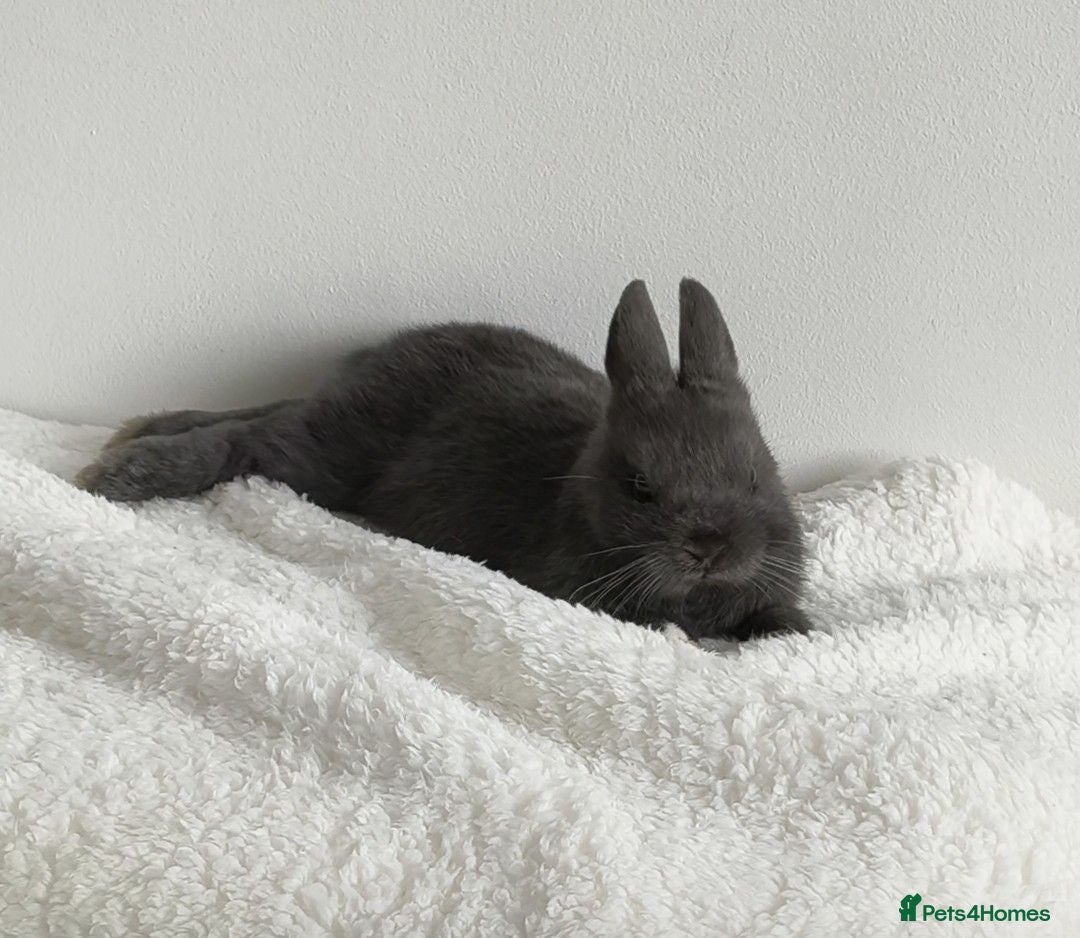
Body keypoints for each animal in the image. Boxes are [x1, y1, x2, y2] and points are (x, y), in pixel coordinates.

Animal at [77, 279, 810, 642]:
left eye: (754, 475)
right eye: (640, 487)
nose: (710, 548)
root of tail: (367, 359)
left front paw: (787, 631)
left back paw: (134, 432)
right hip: (326, 456)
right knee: (251, 438)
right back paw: (116, 471)